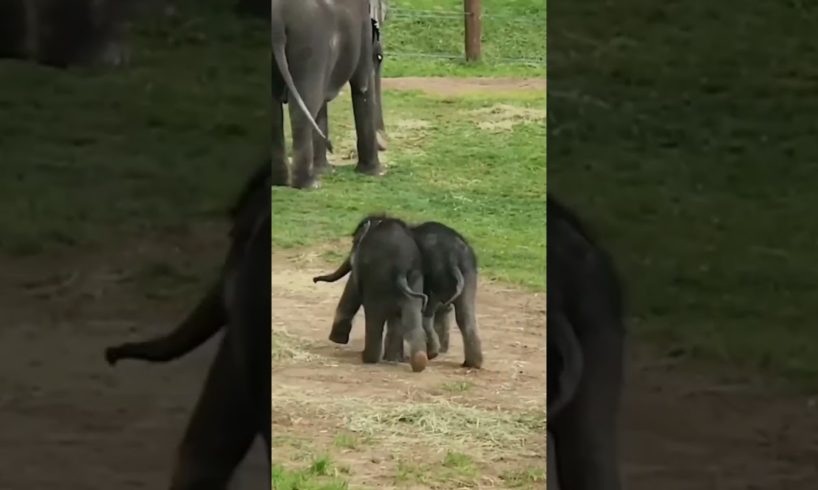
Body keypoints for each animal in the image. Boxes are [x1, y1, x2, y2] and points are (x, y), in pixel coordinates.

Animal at [271, 0, 385, 189]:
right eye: (379, 57)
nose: (384, 145)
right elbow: (362, 86)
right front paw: (378, 172)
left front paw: (323, 170)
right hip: (310, 42)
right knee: (304, 105)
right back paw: (309, 184)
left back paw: (280, 181)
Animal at [313, 214, 430, 372]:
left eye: (354, 242)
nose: (314, 279)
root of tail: (400, 268)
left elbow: (351, 292)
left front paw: (336, 340)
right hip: (414, 279)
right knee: (411, 314)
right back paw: (412, 360)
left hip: (378, 281)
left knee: (374, 316)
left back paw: (368, 359)